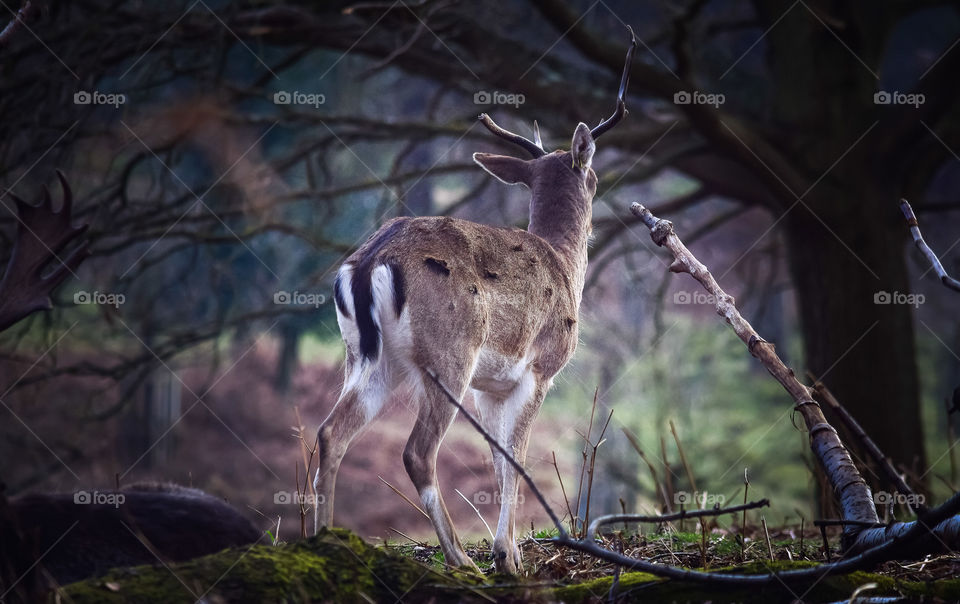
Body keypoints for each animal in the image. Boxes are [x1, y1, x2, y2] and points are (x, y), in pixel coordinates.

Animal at [316, 29, 636, 576]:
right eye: (594, 175)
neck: (563, 265)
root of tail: (368, 263)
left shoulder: (492, 385)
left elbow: (498, 457)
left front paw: (508, 551)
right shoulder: (539, 369)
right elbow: (517, 456)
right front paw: (507, 556)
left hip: (366, 357)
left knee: (329, 433)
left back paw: (318, 541)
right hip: (449, 355)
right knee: (417, 451)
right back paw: (460, 557)